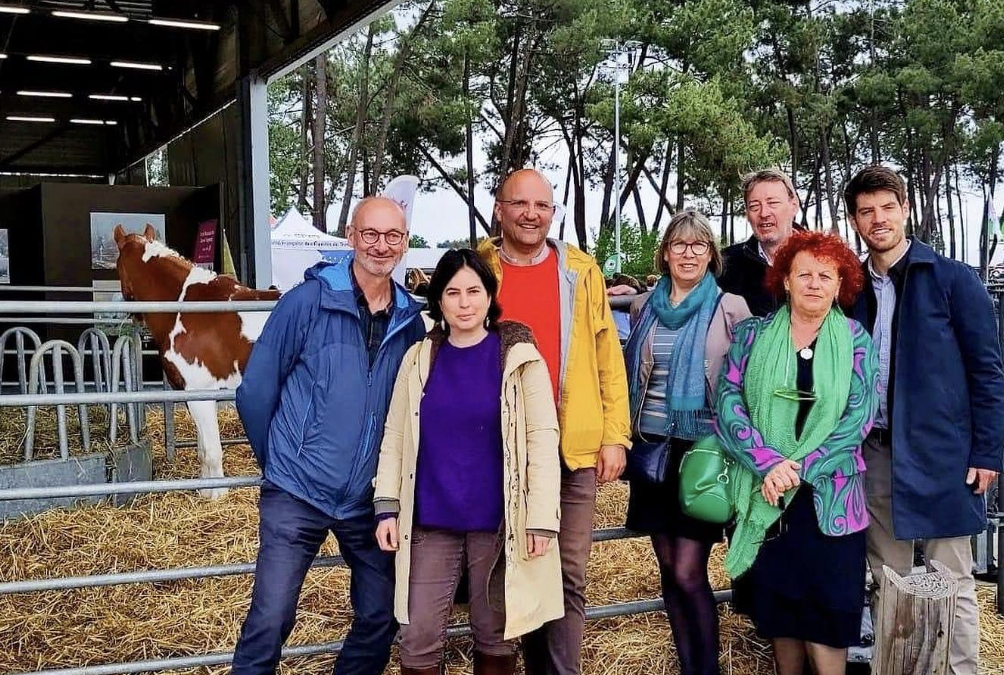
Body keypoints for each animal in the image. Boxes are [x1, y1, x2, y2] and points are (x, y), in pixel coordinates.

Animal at [112, 223, 279, 498]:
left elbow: (212, 451)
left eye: (116, 266)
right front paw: (204, 490)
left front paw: (217, 495)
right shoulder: (191, 394)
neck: (185, 305)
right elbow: (202, 449)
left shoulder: (201, 392)